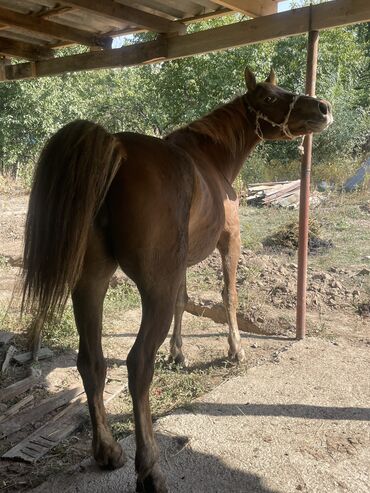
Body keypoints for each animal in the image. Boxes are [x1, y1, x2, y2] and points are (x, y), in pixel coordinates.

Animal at [21, 67, 330, 490]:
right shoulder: (229, 242)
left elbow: (186, 302)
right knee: (137, 365)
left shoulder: (179, 268)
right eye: (268, 97)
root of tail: (116, 149)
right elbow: (229, 296)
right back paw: (149, 468)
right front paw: (235, 350)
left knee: (92, 361)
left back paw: (107, 451)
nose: (323, 108)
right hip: (153, 291)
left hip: (91, 283)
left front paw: (178, 354)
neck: (211, 160)